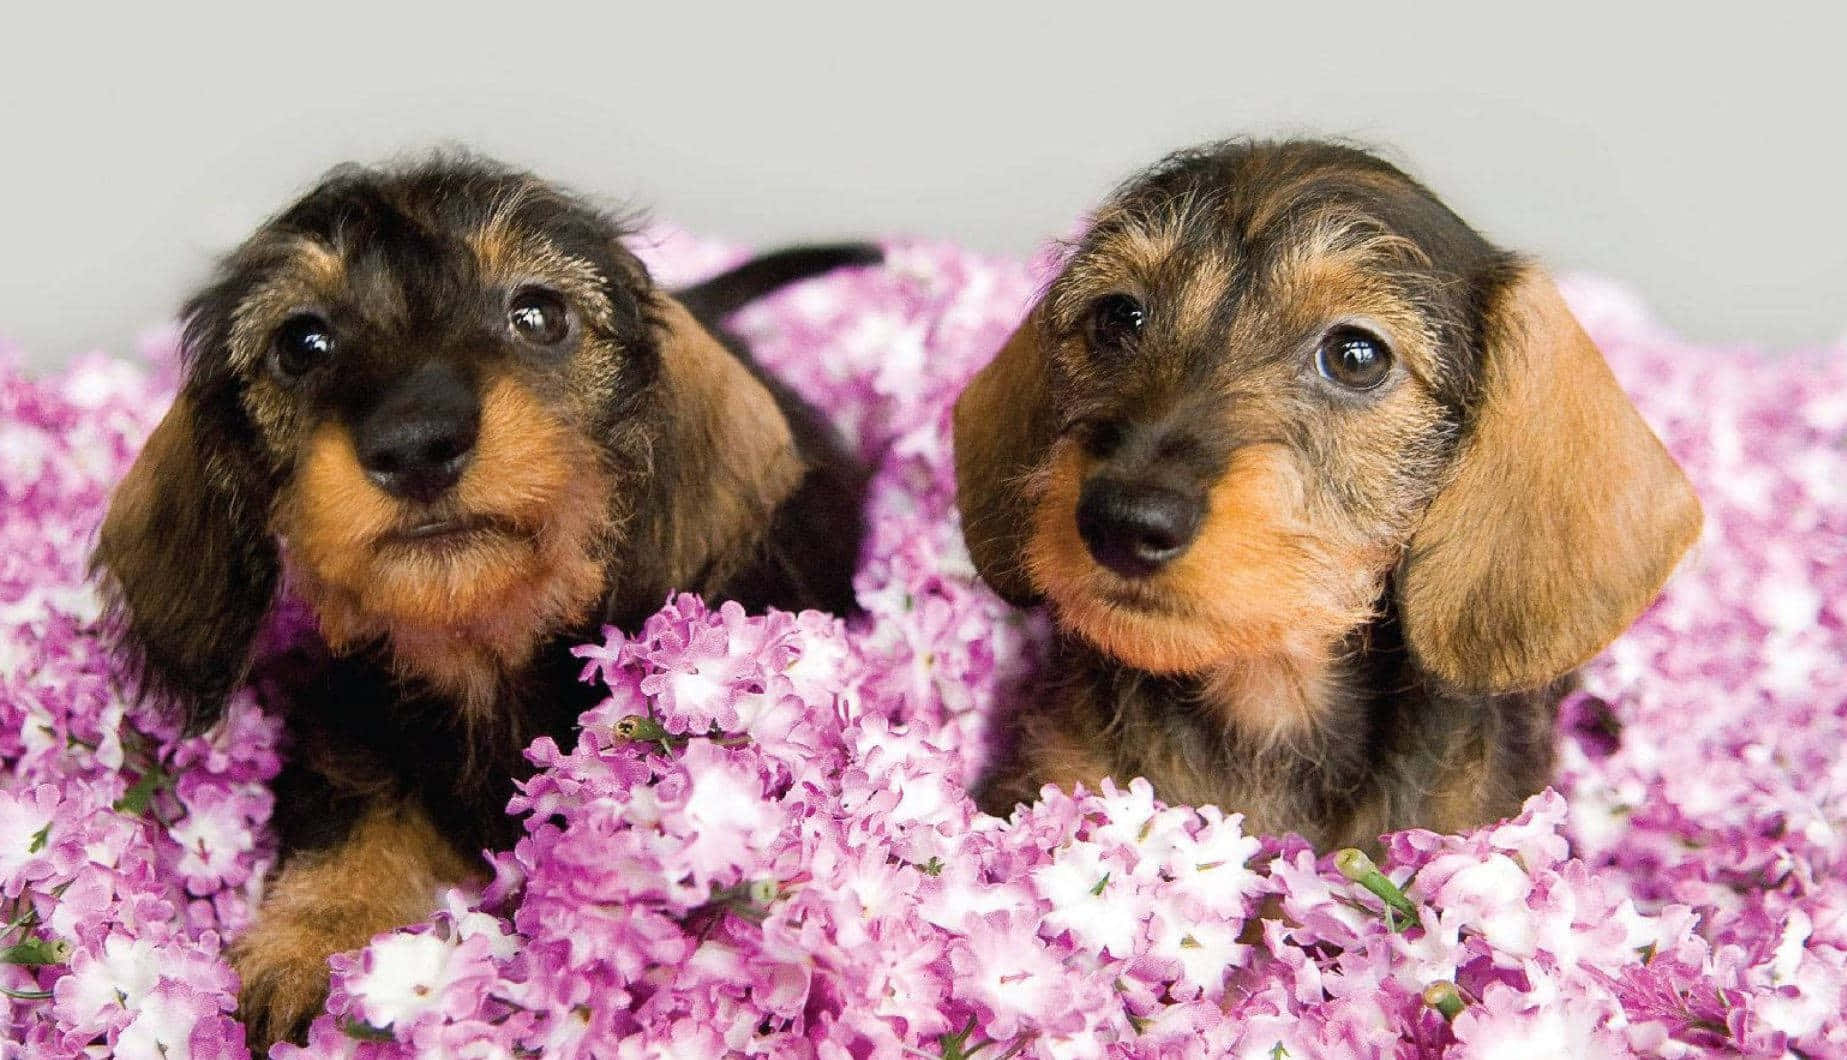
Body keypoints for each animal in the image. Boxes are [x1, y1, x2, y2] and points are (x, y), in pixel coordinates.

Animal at [93, 156, 879, 1048]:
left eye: (539, 314)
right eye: (301, 342)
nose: (416, 443)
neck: (481, 650)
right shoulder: (348, 729)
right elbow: (350, 820)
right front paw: (311, 937)